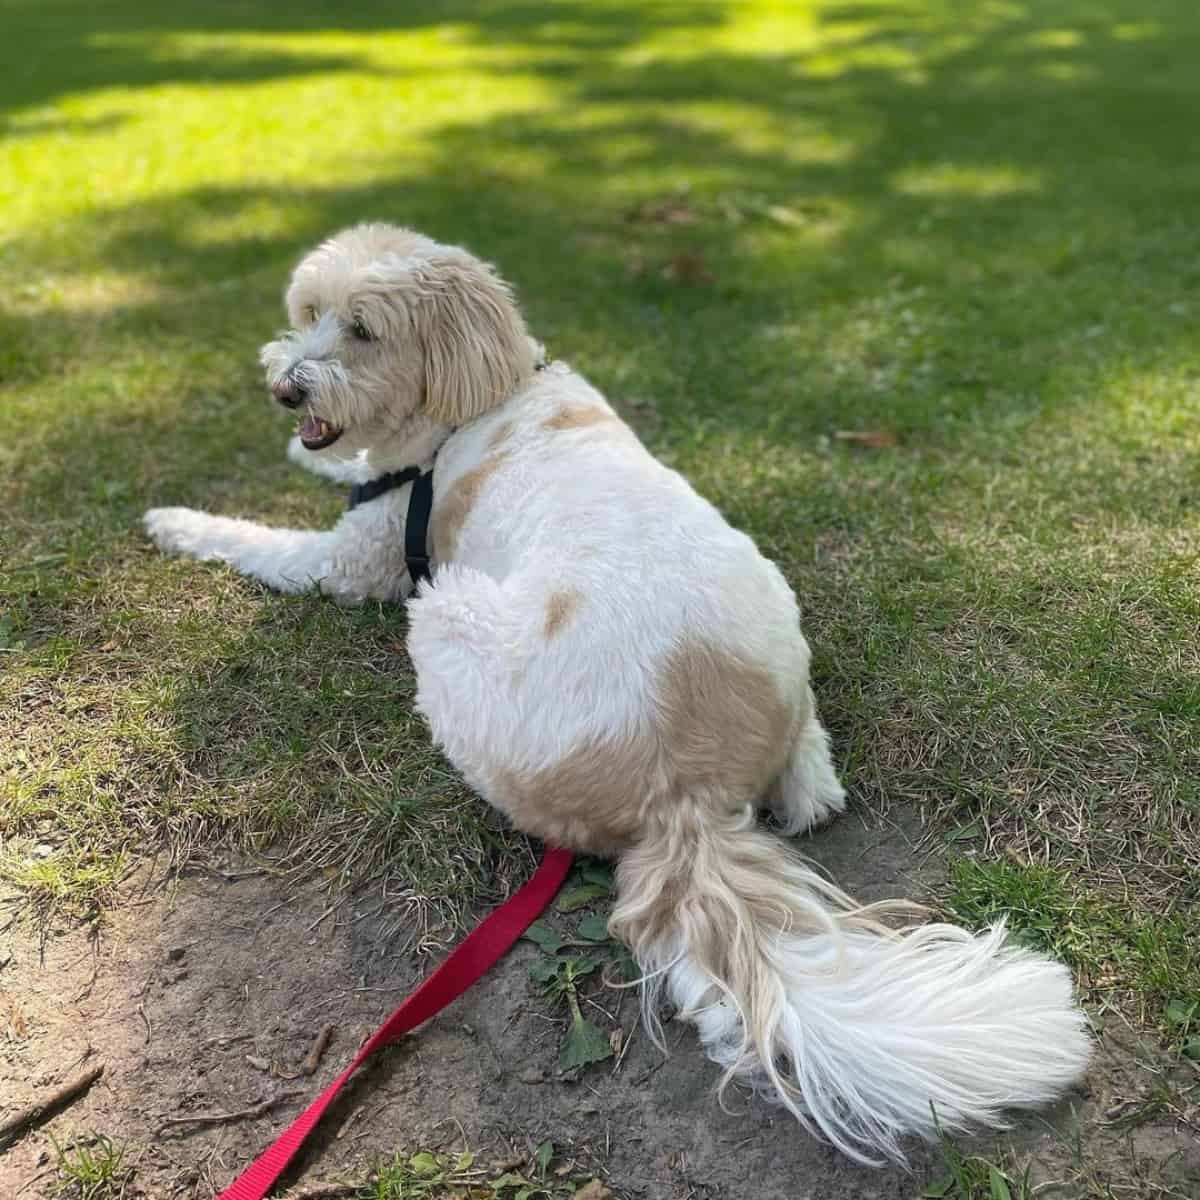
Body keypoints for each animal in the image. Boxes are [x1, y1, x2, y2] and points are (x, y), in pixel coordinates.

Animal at [145, 223, 1094, 1161]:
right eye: (308, 312)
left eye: (363, 330)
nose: (285, 389)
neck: (484, 395)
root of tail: (686, 787)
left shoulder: (358, 557)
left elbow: (259, 540)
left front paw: (177, 521)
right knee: (815, 789)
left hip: (444, 617)